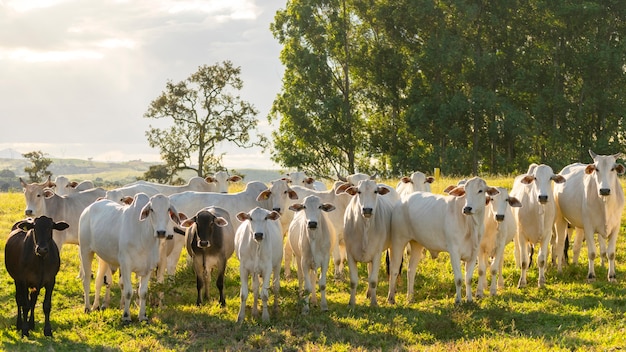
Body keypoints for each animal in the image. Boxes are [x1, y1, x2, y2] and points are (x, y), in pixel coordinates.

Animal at [79, 192, 179, 322]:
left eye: (168, 209)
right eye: (152, 209)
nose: (161, 232)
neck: (143, 236)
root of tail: (88, 208)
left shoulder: (149, 268)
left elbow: (143, 293)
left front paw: (142, 316)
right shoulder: (125, 266)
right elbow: (128, 292)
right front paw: (126, 316)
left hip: (103, 257)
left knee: (99, 280)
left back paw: (96, 306)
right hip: (85, 251)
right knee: (86, 280)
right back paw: (87, 307)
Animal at [552, 150, 620, 282]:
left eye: (613, 169)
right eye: (596, 169)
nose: (604, 190)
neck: (605, 203)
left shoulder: (615, 227)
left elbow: (610, 253)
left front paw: (612, 276)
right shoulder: (588, 227)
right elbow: (592, 253)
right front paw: (591, 276)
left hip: (578, 227)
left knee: (576, 246)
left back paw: (574, 265)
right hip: (561, 220)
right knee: (560, 245)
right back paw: (559, 270)